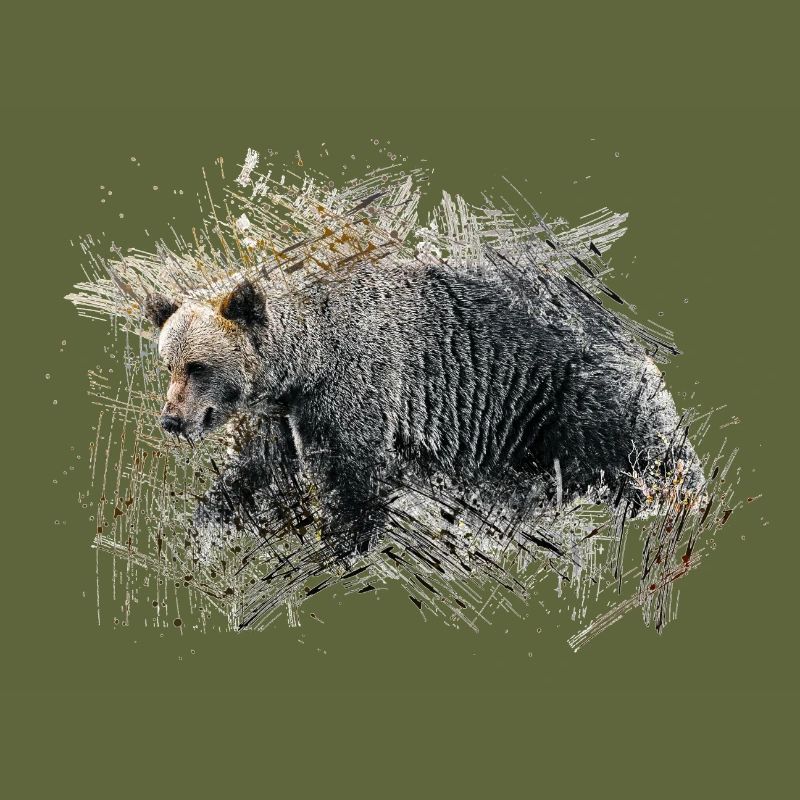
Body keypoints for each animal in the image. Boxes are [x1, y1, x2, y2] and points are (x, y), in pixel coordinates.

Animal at [144, 257, 705, 559]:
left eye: (197, 366)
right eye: (168, 363)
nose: (172, 420)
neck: (307, 364)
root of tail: (647, 360)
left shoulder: (357, 386)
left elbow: (352, 476)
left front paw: (345, 543)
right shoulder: (285, 415)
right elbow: (257, 469)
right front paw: (206, 523)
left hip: (574, 402)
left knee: (641, 465)